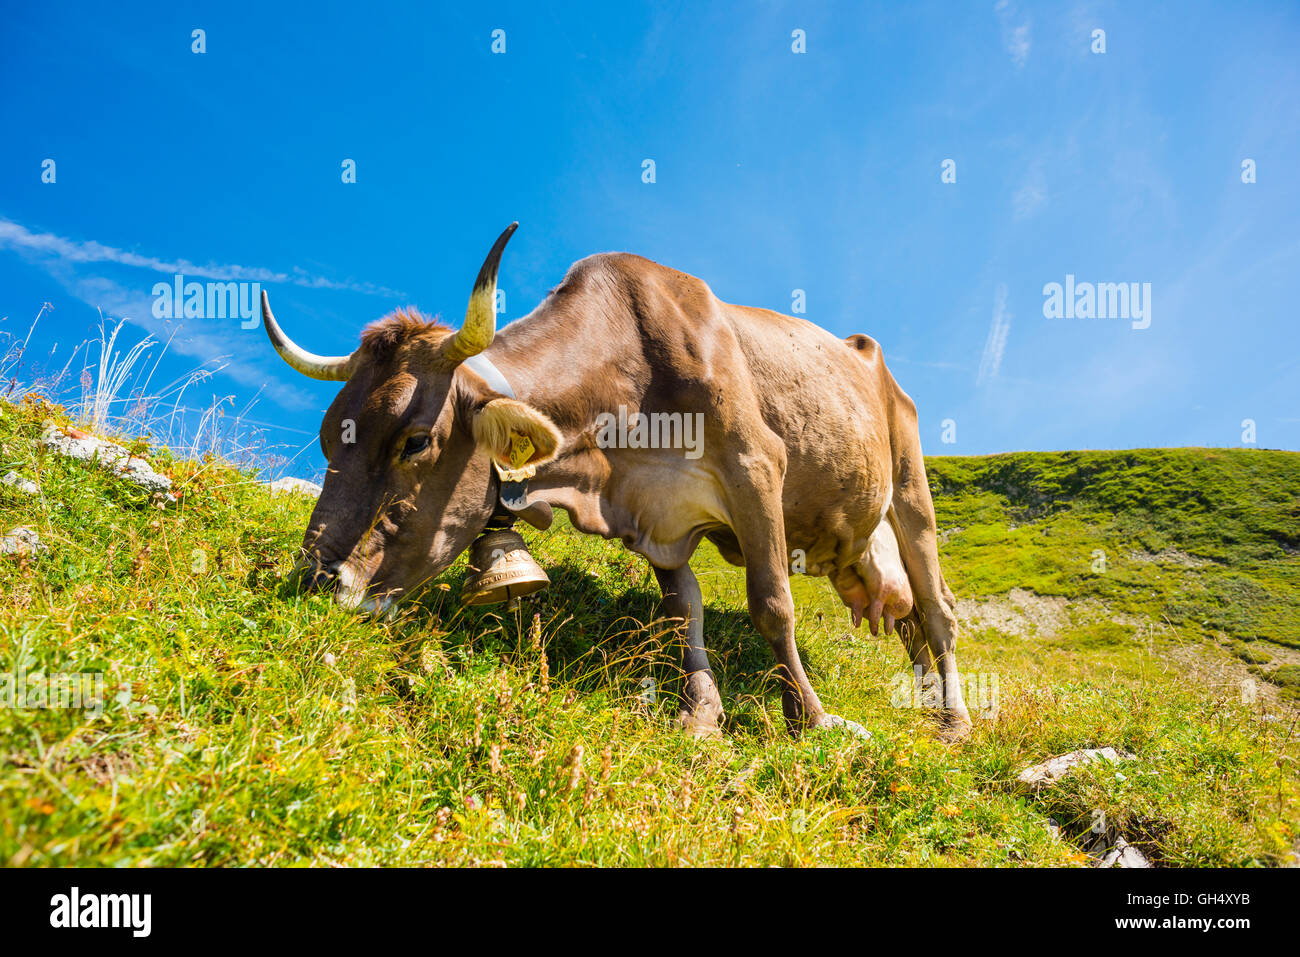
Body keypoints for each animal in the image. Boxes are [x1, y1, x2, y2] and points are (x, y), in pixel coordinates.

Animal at [263, 223, 972, 738]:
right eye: (326, 438)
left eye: (414, 442)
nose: (316, 581)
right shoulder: (653, 513)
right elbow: (681, 611)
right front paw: (700, 713)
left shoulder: (755, 467)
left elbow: (771, 604)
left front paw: (811, 718)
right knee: (910, 620)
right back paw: (923, 701)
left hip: (910, 491)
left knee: (937, 611)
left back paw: (953, 720)